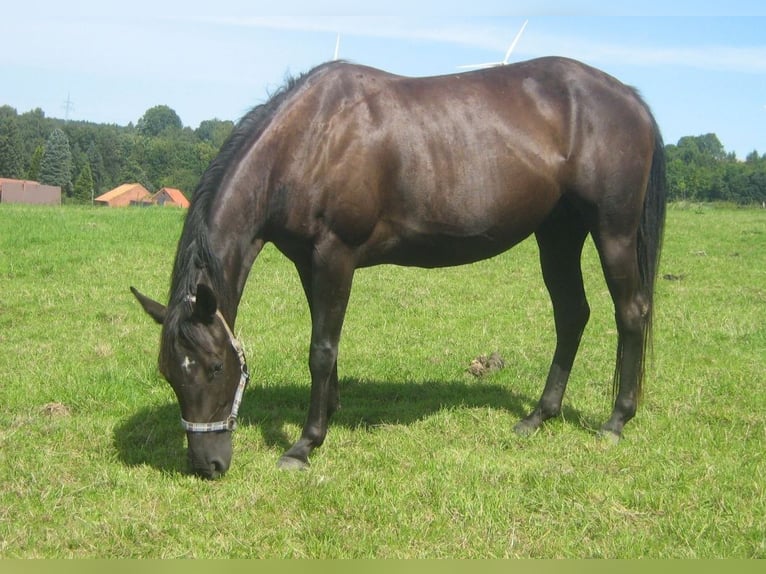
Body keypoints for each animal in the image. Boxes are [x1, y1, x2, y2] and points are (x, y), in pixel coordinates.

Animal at [132, 57, 664, 482]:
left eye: (216, 367)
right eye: (169, 374)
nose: (207, 465)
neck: (310, 139)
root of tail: (631, 99)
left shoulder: (335, 254)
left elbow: (321, 350)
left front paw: (305, 444)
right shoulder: (309, 262)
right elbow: (326, 343)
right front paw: (330, 411)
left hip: (612, 232)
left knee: (630, 312)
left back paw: (616, 420)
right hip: (557, 233)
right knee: (572, 314)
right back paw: (539, 416)